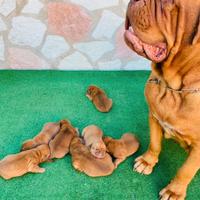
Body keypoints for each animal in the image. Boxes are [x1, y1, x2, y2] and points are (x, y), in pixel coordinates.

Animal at [125, 0, 200, 199]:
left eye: (169, 2)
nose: (134, 0)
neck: (174, 88)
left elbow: (186, 170)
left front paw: (174, 191)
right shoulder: (154, 117)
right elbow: (154, 143)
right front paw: (147, 161)